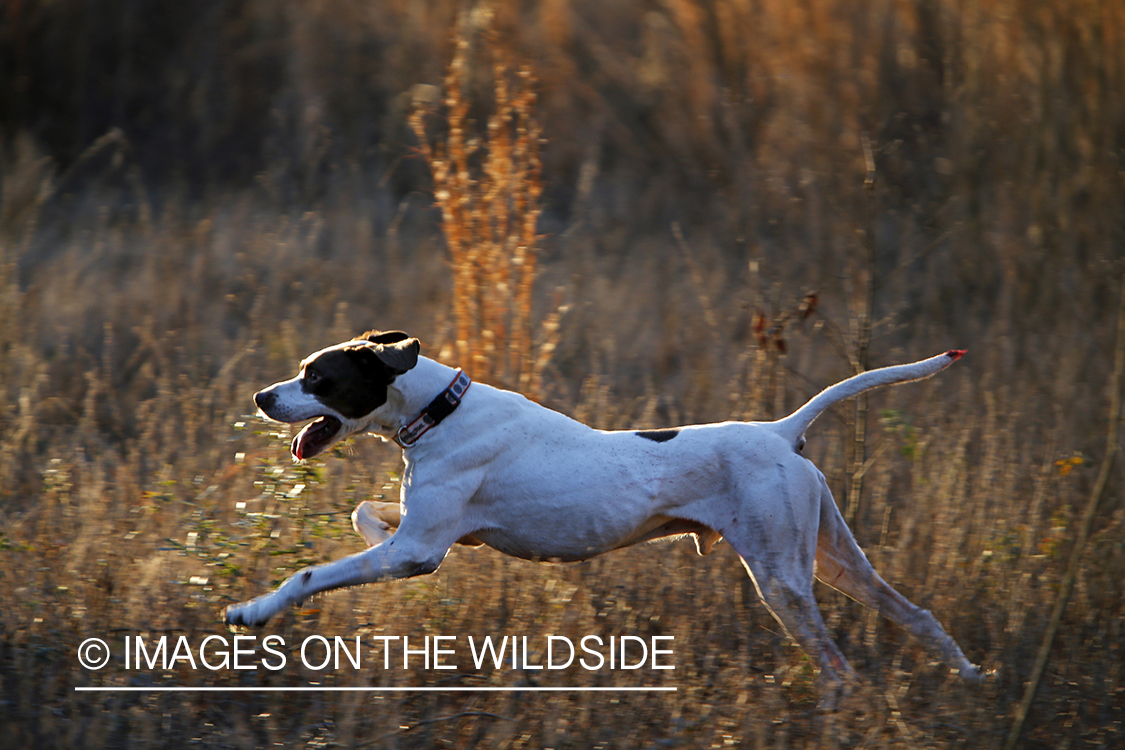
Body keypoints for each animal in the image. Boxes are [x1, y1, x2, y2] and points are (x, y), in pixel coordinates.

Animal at [223, 330, 981, 701]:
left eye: (318, 379)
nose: (260, 396)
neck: (441, 410)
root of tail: (777, 430)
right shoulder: (435, 537)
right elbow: (365, 514)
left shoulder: (419, 551)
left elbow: (310, 575)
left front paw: (254, 611)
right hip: (831, 559)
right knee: (916, 614)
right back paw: (969, 679)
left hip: (783, 581)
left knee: (837, 667)